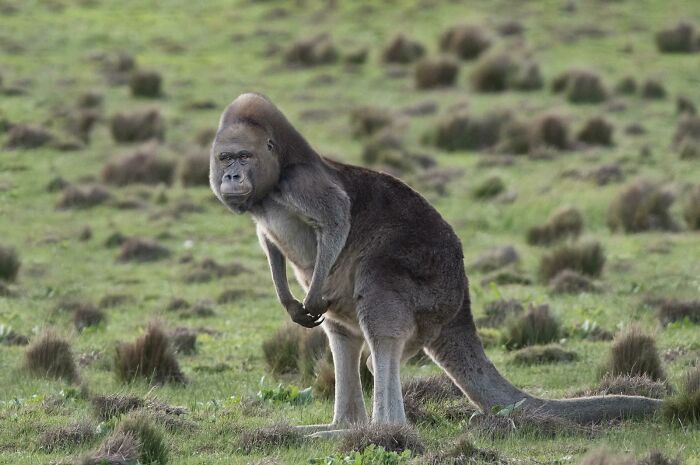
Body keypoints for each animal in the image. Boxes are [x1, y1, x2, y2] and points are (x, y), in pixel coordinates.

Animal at [210, 93, 660, 434]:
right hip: (352, 314)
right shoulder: (265, 222)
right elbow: (270, 248)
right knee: (347, 343)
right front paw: (289, 301)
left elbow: (337, 218)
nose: (231, 178)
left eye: (243, 157)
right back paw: (332, 429)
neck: (270, 189)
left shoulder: (305, 185)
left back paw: (372, 429)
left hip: (402, 281)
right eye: (224, 158)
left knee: (380, 340)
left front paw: (309, 294)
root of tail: (460, 305)